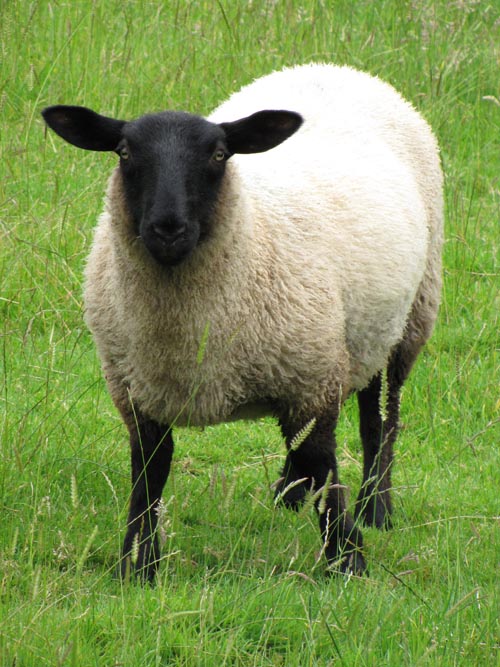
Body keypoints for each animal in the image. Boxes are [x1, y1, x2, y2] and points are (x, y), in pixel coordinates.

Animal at [41, 63, 443, 582]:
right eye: (125, 152)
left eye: (218, 154)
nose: (167, 228)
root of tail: (333, 68)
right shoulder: (137, 390)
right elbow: (149, 473)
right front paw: (139, 562)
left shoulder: (312, 375)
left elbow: (325, 465)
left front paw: (348, 557)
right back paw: (290, 494)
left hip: (408, 317)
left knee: (380, 415)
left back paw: (376, 507)